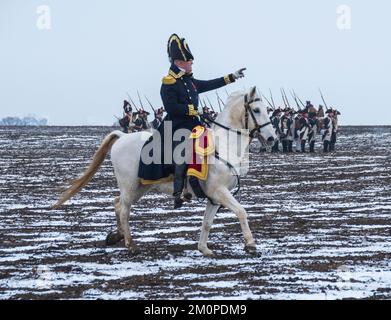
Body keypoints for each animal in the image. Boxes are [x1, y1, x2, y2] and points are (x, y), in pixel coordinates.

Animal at [53, 86, 278, 256]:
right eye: (256, 110)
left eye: (266, 109)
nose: (271, 138)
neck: (224, 146)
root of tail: (123, 136)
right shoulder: (219, 191)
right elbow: (241, 211)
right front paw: (250, 245)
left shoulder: (214, 197)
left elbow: (207, 223)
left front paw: (204, 249)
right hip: (130, 186)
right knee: (124, 210)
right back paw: (130, 245)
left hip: (139, 188)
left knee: (117, 203)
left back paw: (117, 236)